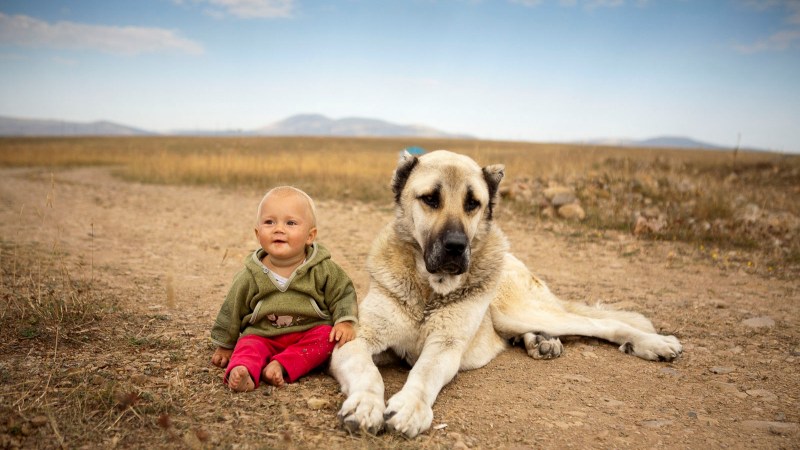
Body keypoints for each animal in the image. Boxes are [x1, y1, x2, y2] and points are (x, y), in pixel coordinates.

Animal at [328, 149, 684, 438]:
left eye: (473, 204)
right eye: (430, 199)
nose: (457, 246)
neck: (429, 291)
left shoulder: (445, 346)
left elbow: (424, 374)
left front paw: (410, 406)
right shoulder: (357, 339)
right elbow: (369, 372)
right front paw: (365, 404)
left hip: (516, 310)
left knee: (600, 324)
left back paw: (652, 343)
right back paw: (542, 342)